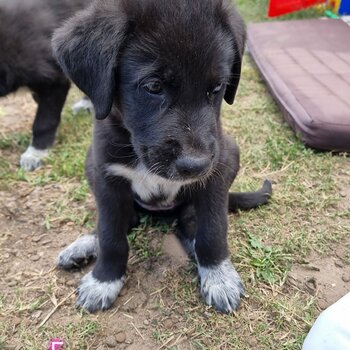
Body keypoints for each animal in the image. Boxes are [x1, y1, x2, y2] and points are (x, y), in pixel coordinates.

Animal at [53, 0, 272, 312]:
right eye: (153, 87)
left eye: (217, 88)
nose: (195, 166)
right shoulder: (105, 175)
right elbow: (110, 234)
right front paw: (104, 280)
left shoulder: (220, 166)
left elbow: (213, 230)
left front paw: (218, 276)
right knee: (123, 220)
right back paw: (84, 245)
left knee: (192, 223)